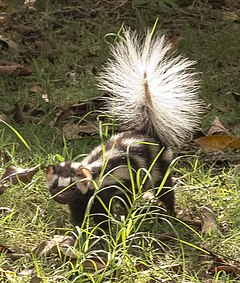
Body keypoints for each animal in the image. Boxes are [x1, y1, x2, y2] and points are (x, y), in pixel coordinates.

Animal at [46, 29, 202, 231]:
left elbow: (102, 214)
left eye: (73, 187)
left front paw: (101, 232)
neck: (93, 175)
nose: (62, 198)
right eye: (55, 186)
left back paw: (169, 212)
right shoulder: (80, 201)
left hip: (159, 164)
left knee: (164, 188)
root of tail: (147, 132)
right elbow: (78, 216)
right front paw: (79, 231)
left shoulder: (102, 191)